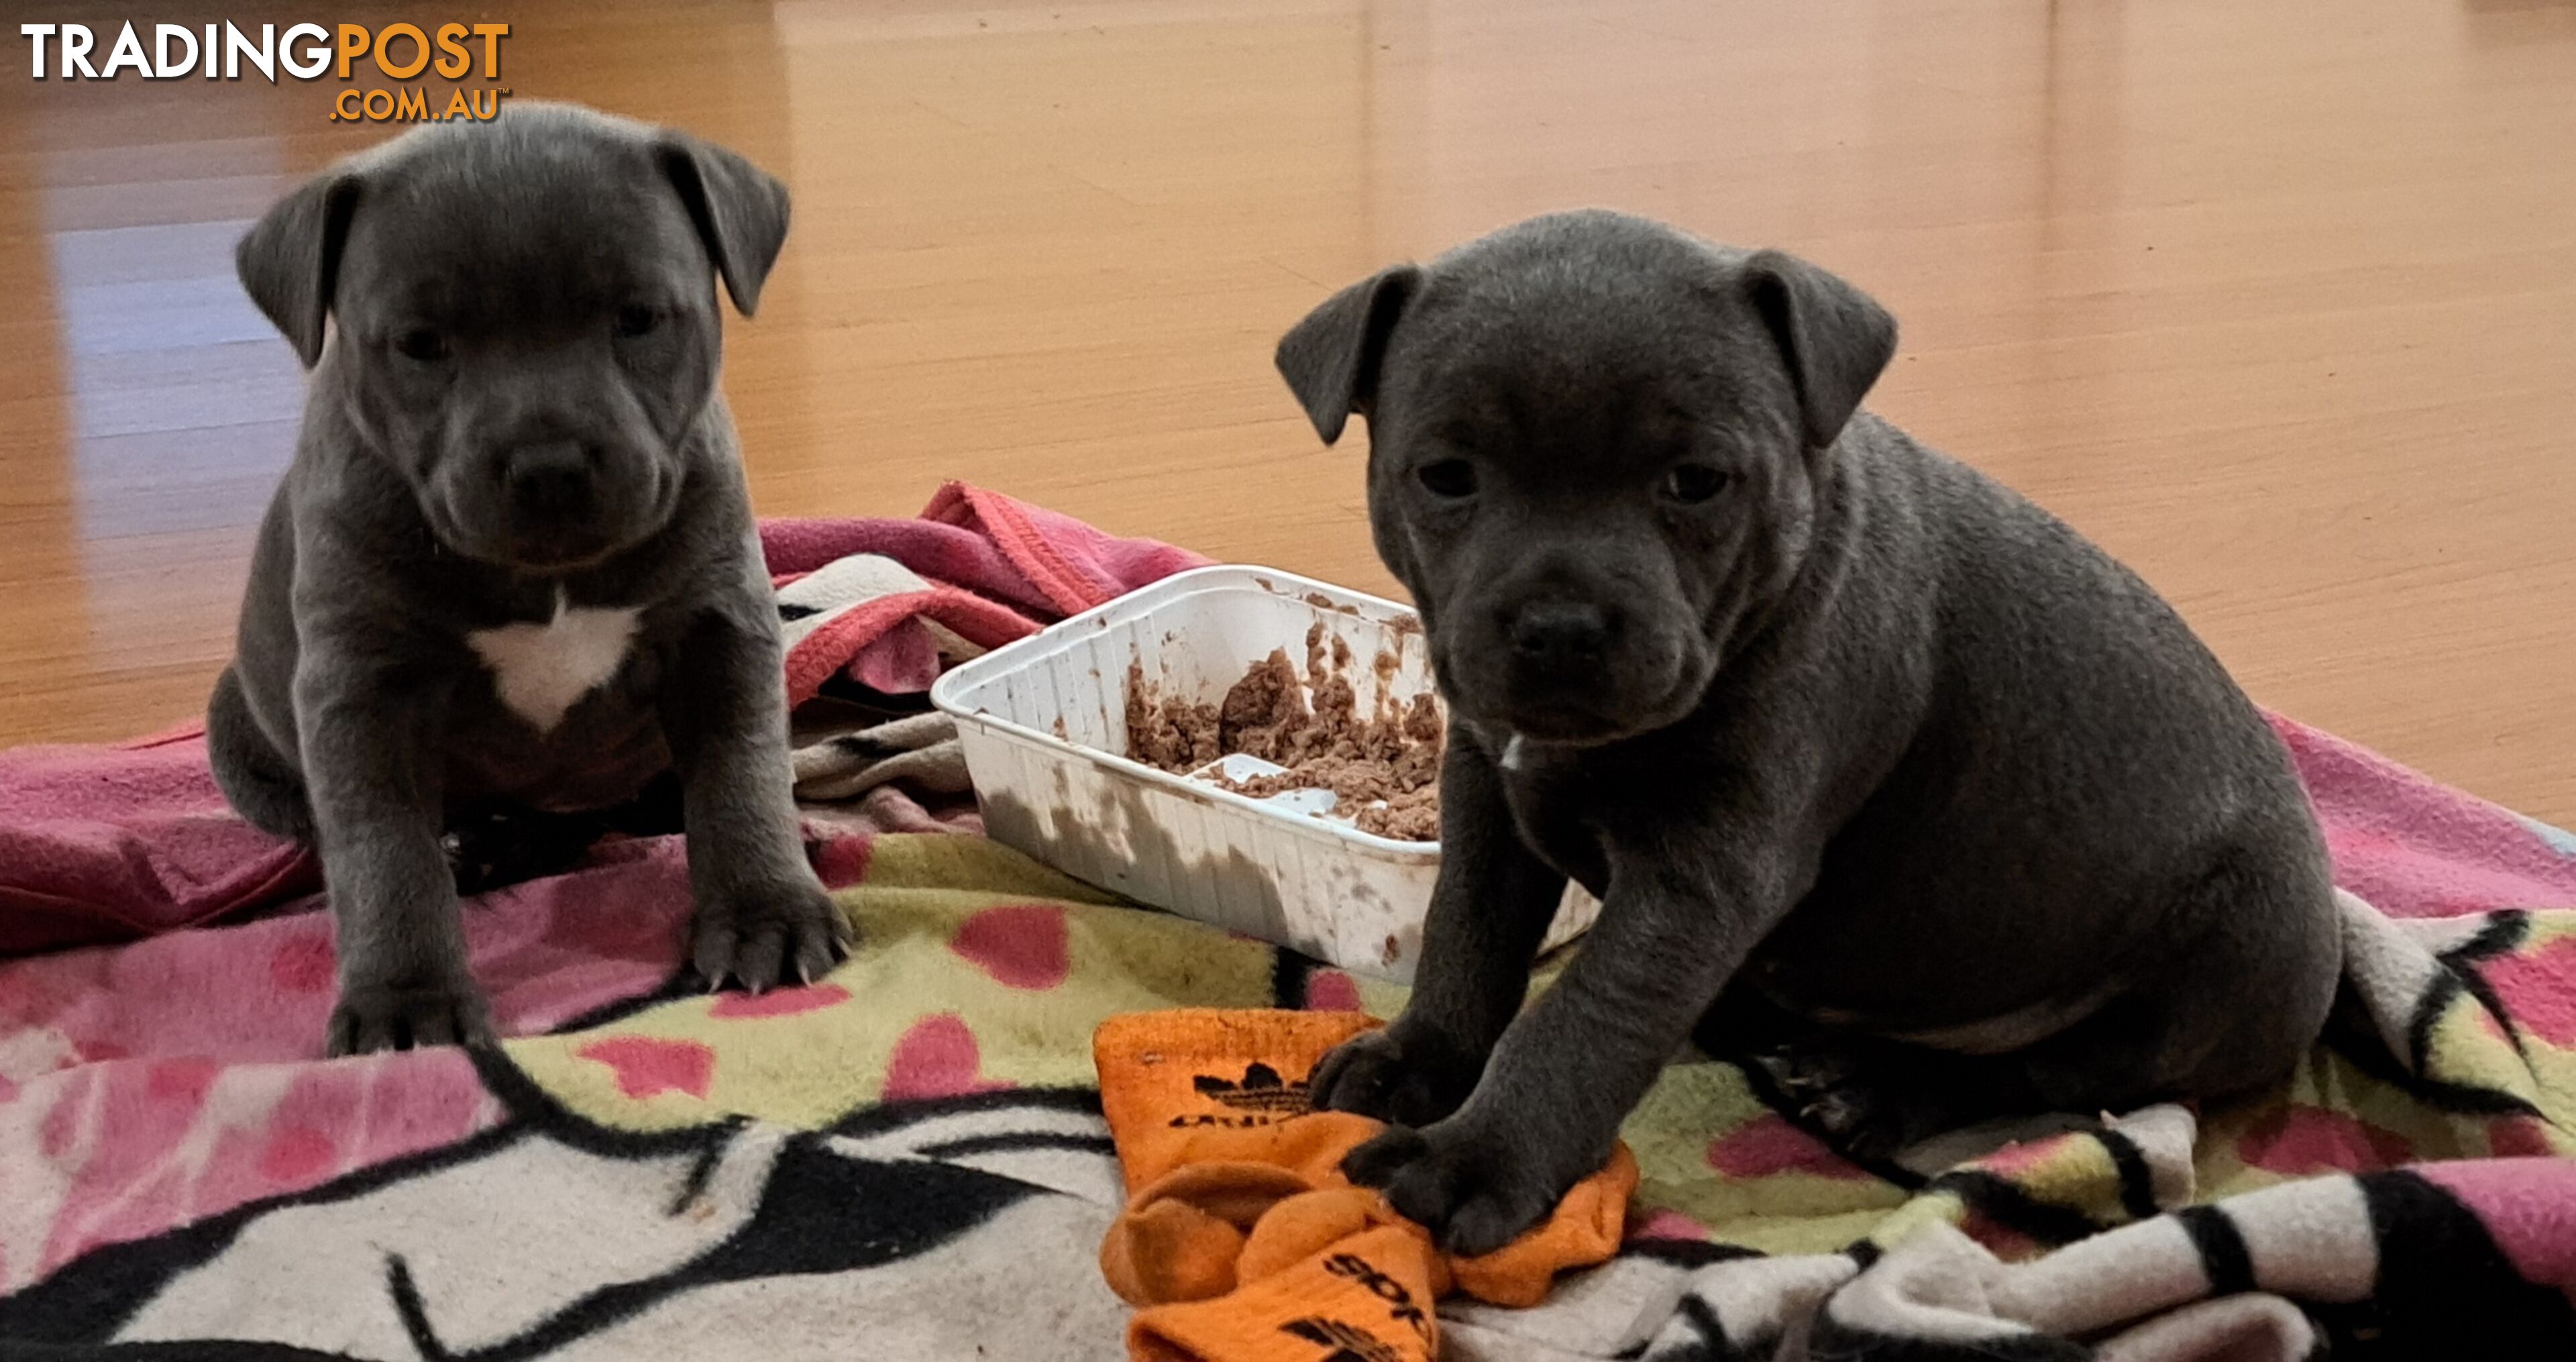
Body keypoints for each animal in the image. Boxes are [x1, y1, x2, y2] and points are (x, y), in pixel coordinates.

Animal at [1277, 207, 2349, 1256]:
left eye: (1698, 480)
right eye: (1445, 475)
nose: (1561, 630)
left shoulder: (1703, 875)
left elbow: (1584, 1016)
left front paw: (1480, 1156)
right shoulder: (1487, 793)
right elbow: (1467, 936)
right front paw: (1418, 1058)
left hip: (2211, 969)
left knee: (2048, 1073)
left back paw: (1876, 1084)